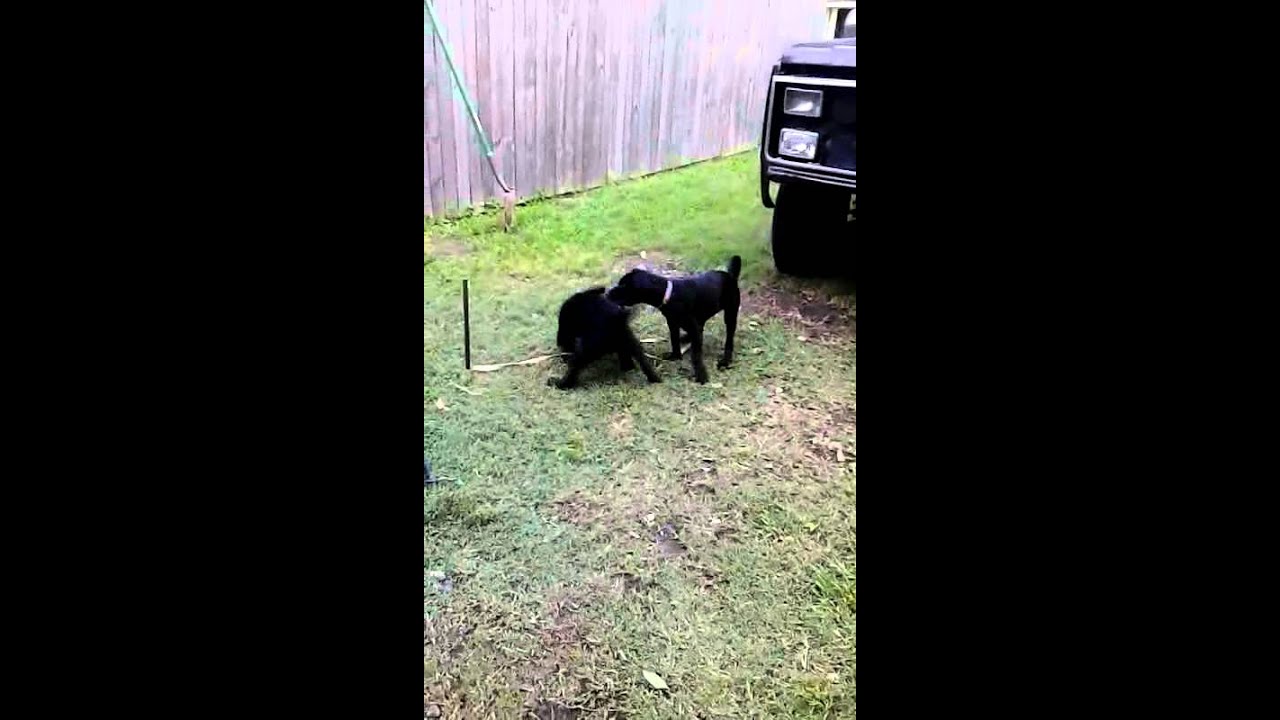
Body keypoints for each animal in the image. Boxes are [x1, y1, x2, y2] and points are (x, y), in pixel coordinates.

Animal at [607, 255, 741, 384]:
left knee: (729, 340)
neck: (670, 294)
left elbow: (696, 355)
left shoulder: (690, 327)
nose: (607, 293)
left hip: (730, 314)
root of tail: (730, 275)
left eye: (624, 286)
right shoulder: (673, 323)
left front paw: (701, 376)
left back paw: (725, 361)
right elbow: (674, 340)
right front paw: (675, 357)